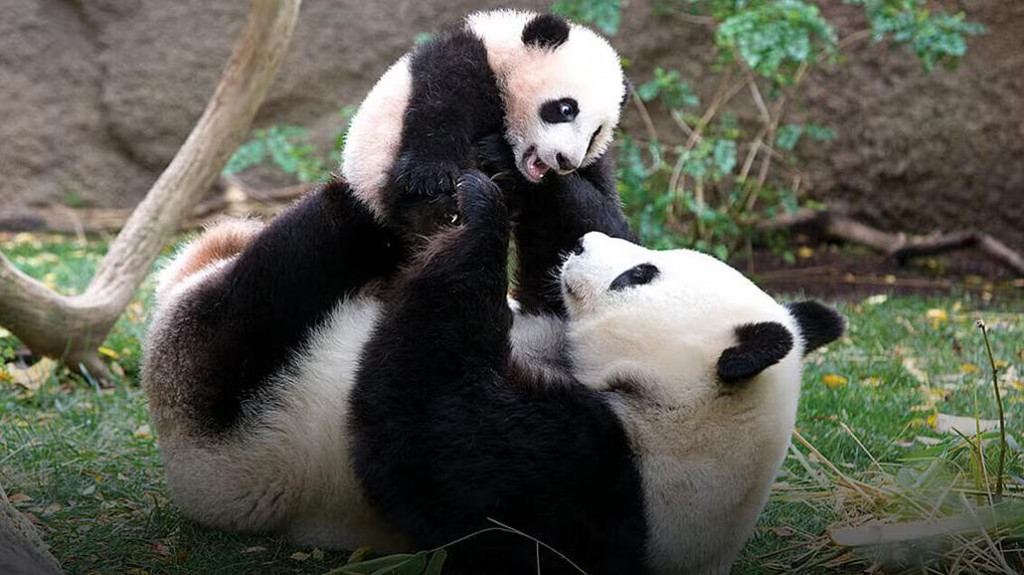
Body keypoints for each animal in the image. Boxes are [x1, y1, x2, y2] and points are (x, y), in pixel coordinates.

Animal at [146, 166, 847, 572]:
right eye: (652, 256)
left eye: (638, 275)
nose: (587, 248)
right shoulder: (549, 331)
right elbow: (540, 285)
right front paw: (553, 178)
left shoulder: (587, 478)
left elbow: (421, 429)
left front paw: (482, 209)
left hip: (228, 427)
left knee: (261, 297)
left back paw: (344, 206)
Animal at [344, 7, 626, 235]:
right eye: (566, 108)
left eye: (595, 135)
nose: (566, 161)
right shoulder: (463, 60)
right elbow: (440, 104)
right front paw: (433, 175)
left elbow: (608, 223)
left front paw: (496, 155)